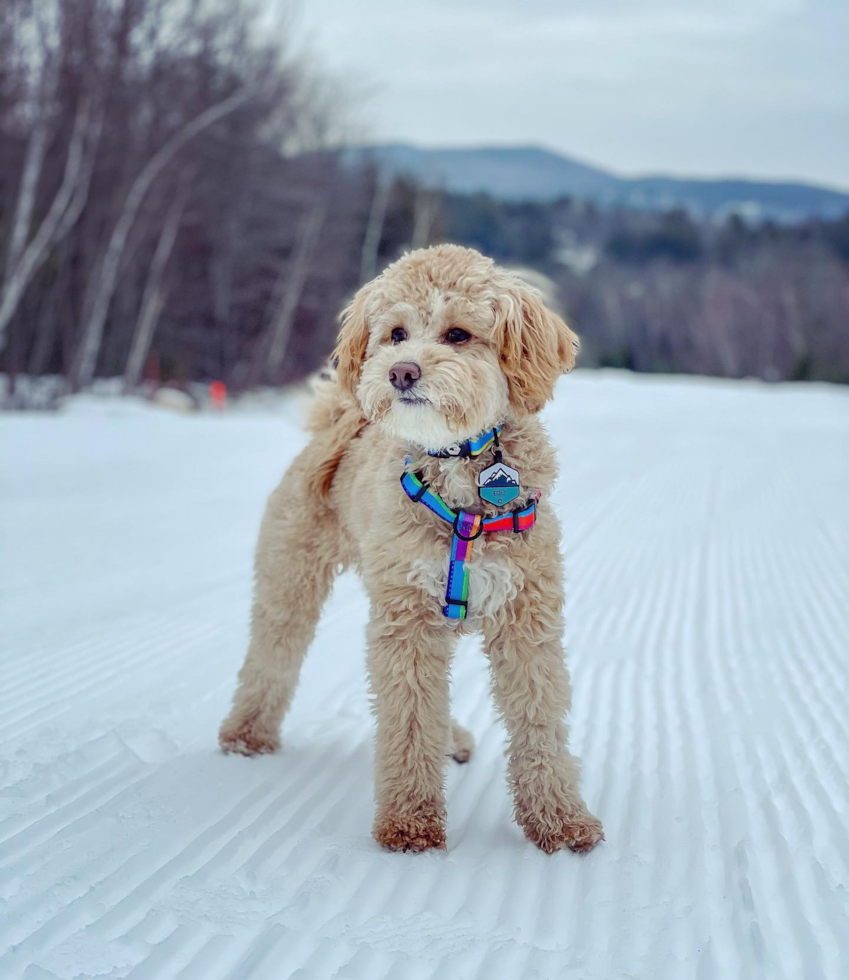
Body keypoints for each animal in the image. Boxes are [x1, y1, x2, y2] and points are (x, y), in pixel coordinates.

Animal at [219, 241, 604, 852]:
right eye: (396, 333)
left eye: (457, 334)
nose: (402, 371)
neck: (459, 471)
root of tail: (336, 422)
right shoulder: (407, 620)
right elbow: (409, 721)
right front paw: (410, 823)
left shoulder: (526, 616)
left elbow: (538, 723)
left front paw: (562, 820)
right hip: (291, 576)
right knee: (271, 656)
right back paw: (245, 735)